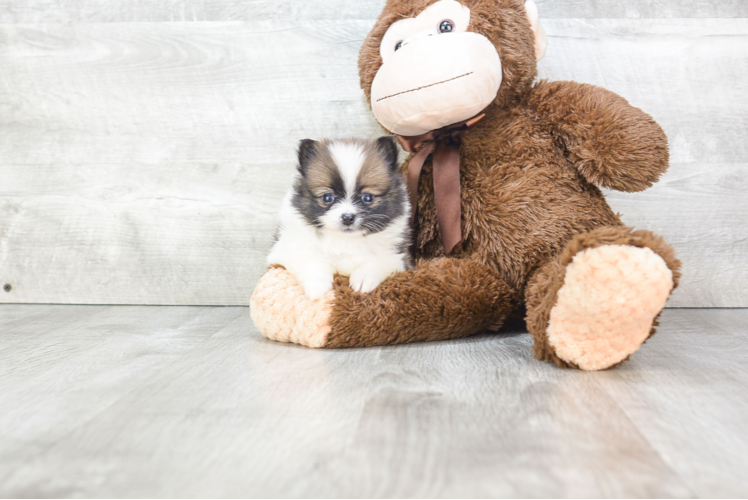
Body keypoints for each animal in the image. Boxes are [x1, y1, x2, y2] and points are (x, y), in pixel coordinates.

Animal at [268, 137, 412, 298]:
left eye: (367, 197)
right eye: (327, 197)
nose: (347, 217)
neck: (345, 240)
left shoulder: (398, 256)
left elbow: (378, 262)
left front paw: (363, 280)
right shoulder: (286, 249)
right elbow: (310, 262)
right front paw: (317, 286)